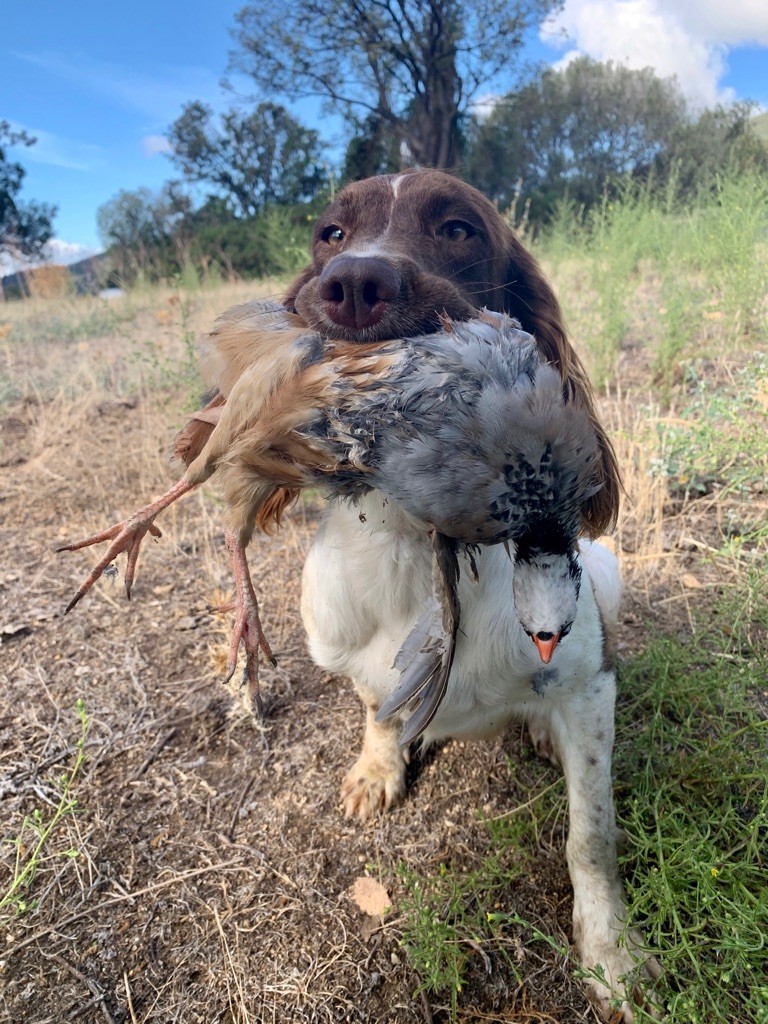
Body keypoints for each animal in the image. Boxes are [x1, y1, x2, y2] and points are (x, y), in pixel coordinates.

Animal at [286, 167, 659, 1015]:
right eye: (329, 232)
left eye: (457, 228)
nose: (353, 283)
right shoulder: (354, 653)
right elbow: (375, 708)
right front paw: (378, 767)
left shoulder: (590, 685)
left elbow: (591, 836)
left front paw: (613, 955)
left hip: (605, 577)